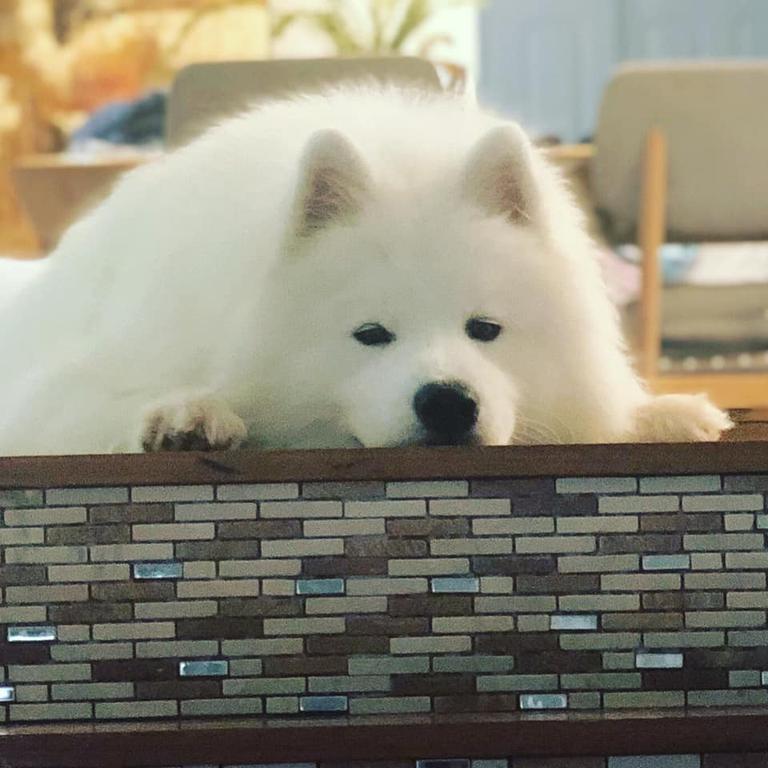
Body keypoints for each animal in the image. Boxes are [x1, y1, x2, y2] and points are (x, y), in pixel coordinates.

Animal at [0, 88, 732, 456]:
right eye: (371, 334)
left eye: (485, 329)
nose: (448, 402)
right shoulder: (56, 394)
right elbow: (104, 407)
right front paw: (186, 414)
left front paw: (663, 413)